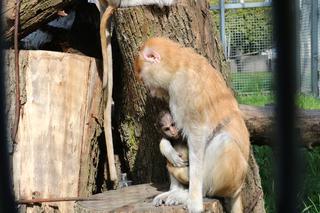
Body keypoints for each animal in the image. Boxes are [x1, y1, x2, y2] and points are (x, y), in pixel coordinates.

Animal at [135, 37, 250, 213]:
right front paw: (167, 149)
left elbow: (196, 135)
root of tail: (239, 189)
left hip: (232, 179)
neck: (178, 63)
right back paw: (174, 189)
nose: (151, 91)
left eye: (142, 75)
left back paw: (187, 194)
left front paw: (194, 201)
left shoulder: (183, 88)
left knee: (224, 142)